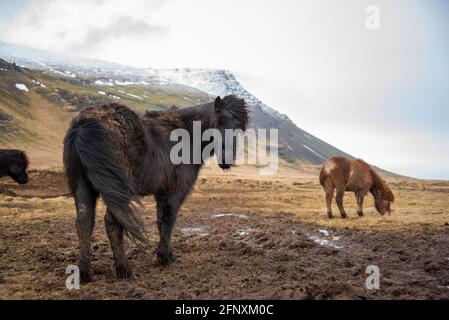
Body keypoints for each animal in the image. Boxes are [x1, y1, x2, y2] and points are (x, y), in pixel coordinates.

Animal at [63, 95, 248, 282]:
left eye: (240, 128)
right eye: (219, 121)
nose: (226, 160)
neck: (186, 135)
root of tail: (84, 124)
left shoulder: (161, 193)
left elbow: (161, 221)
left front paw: (167, 255)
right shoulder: (175, 191)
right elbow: (168, 220)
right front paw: (163, 257)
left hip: (84, 187)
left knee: (84, 221)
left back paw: (84, 272)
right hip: (117, 191)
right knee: (112, 222)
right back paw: (124, 270)